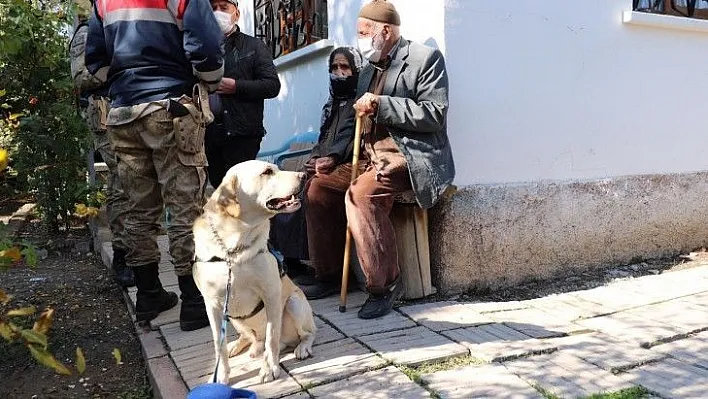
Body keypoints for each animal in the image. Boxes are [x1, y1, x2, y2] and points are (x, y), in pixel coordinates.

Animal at [192, 160, 316, 384]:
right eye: (267, 172)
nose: (303, 175)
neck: (233, 249)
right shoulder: (212, 305)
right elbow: (218, 345)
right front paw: (221, 374)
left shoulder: (271, 294)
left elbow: (272, 337)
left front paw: (270, 368)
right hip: (233, 318)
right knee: (249, 337)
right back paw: (238, 345)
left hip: (294, 303)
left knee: (305, 334)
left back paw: (301, 348)